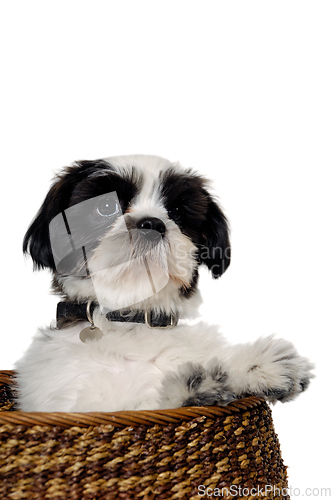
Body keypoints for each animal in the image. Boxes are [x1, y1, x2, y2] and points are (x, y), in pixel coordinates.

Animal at [14, 155, 314, 410]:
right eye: (106, 206)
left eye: (177, 211)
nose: (151, 224)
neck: (133, 321)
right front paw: (198, 388)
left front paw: (254, 366)